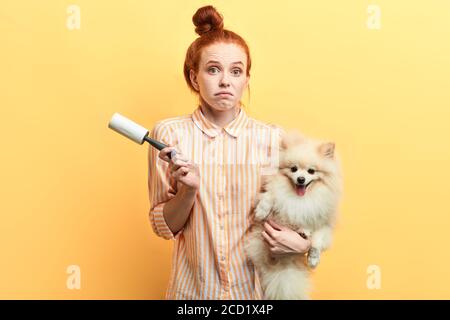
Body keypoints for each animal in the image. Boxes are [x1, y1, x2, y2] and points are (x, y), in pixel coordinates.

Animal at [244, 130, 342, 300]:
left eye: (311, 171)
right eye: (293, 169)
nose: (301, 179)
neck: (300, 197)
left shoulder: (324, 223)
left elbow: (316, 242)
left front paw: (313, 259)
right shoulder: (275, 193)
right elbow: (270, 196)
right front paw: (261, 211)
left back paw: (303, 232)